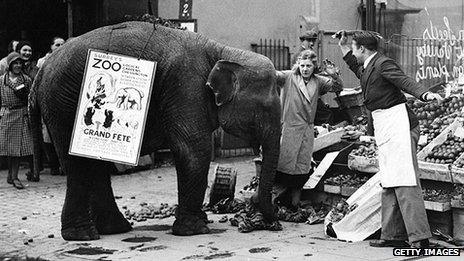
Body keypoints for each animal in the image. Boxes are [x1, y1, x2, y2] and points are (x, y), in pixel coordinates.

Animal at [29, 21, 282, 241]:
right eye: (265, 108)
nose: (275, 218)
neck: (223, 51)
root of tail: (41, 69)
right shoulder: (186, 88)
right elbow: (194, 149)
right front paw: (196, 230)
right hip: (64, 104)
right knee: (78, 165)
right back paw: (82, 235)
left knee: (95, 164)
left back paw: (116, 229)